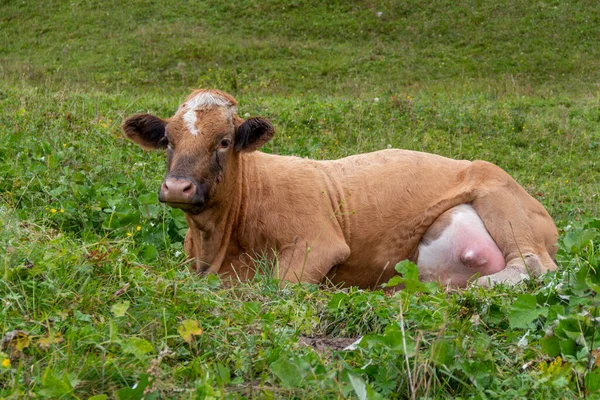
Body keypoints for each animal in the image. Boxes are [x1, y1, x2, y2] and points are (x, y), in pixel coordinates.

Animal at [122, 88, 556, 288]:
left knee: (535, 267)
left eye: (224, 142)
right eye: (169, 140)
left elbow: (279, 287)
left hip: (502, 203)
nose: (177, 187)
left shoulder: (318, 243)